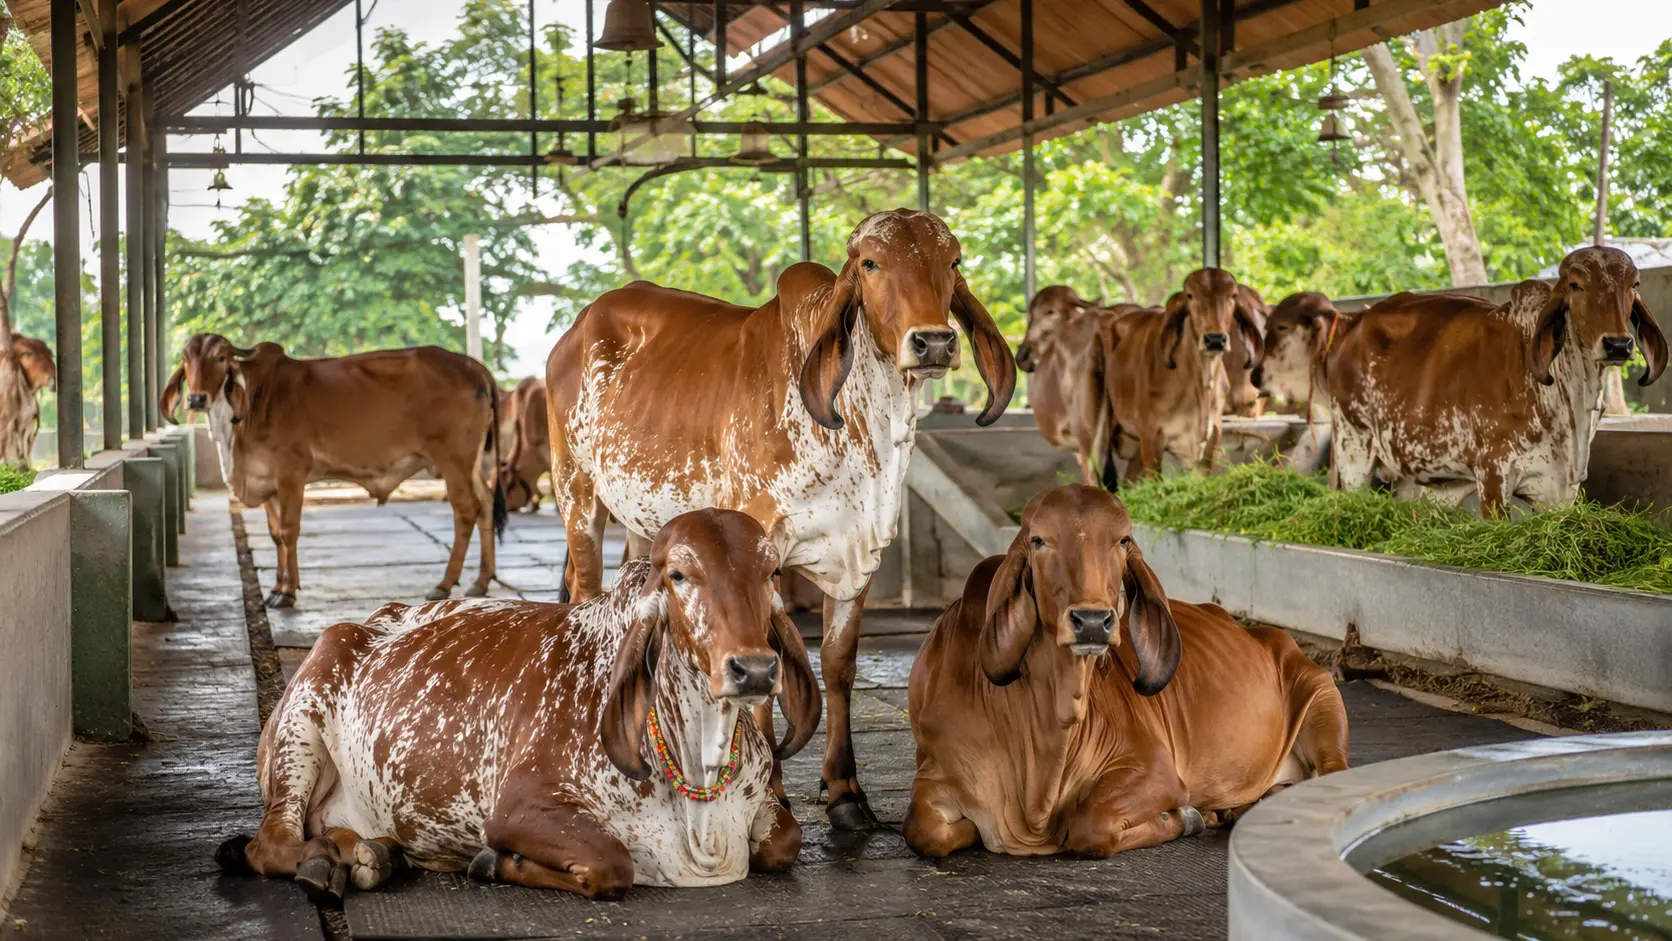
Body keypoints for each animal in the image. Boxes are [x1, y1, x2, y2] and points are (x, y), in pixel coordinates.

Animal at [161, 334, 506, 607]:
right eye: (186, 359)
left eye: (220, 357)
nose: (196, 398)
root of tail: (473, 367)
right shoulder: (268, 481)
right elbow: (275, 536)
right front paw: (275, 587)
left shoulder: (291, 473)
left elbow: (288, 530)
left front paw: (287, 592)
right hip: (470, 463)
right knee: (487, 503)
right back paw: (481, 581)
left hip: (452, 459)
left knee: (466, 511)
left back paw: (444, 584)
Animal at [215, 508, 821, 904]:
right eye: (678, 574)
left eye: (770, 572)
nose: (754, 669)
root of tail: (359, 622)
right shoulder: (519, 807)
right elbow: (612, 863)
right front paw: (492, 862)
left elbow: (786, 841)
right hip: (299, 733)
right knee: (271, 844)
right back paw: (329, 862)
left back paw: (371, 855)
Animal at [546, 209, 1015, 829]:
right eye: (872, 263)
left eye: (953, 261)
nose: (934, 341)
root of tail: (579, 327)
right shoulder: (756, 544)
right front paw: (772, 794)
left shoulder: (858, 554)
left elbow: (838, 665)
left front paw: (845, 792)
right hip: (576, 494)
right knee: (582, 595)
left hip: (644, 521)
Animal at [904, 485, 1349, 859]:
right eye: (1038, 540)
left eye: (1123, 540)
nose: (1092, 621)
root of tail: (1267, 634)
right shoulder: (935, 773)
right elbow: (924, 832)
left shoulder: (1155, 771)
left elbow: (1090, 826)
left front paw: (1184, 817)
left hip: (1321, 693)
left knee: (1334, 774)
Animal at [1326, 247, 1666, 515]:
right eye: (1576, 285)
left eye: (1634, 285)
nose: (1618, 345)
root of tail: (1354, 321)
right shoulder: (1493, 475)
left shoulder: (1557, 493)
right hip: (1353, 446)